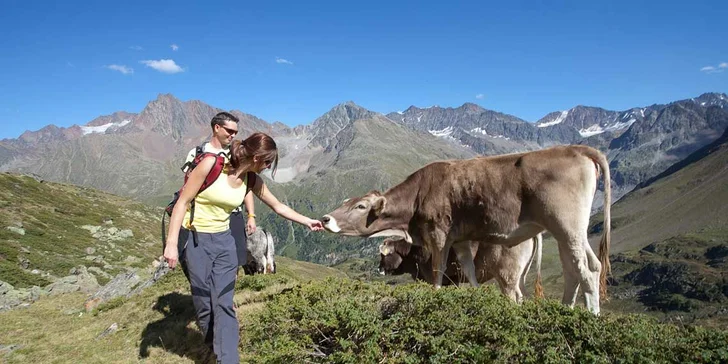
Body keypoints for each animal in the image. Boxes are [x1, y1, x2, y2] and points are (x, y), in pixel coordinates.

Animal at [378, 235, 544, 302]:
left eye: (383, 255)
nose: (379, 269)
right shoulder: (453, 279)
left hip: (506, 273)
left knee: (514, 295)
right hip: (519, 274)